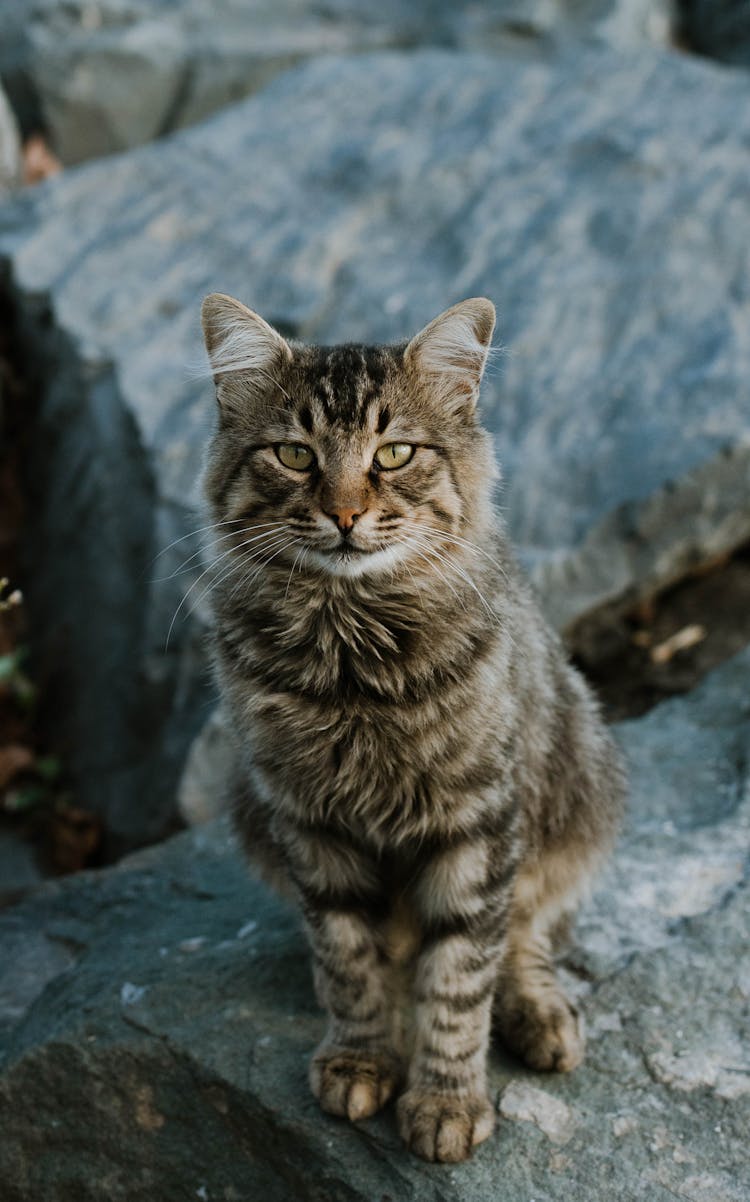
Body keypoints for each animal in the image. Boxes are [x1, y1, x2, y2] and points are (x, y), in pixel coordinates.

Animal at [198, 293, 620, 1163]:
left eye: (394, 454)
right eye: (294, 455)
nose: (346, 513)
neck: (353, 660)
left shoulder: (478, 821)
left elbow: (459, 978)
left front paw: (446, 1103)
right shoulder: (307, 821)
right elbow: (349, 960)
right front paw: (362, 1059)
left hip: (576, 790)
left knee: (527, 931)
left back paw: (541, 1016)